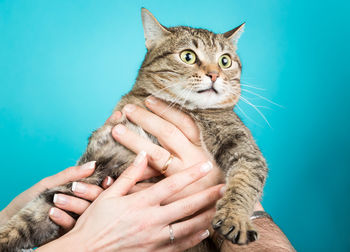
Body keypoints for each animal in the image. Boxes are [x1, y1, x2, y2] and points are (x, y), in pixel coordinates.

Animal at [0, 8, 268, 252]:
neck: (181, 107)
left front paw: (236, 218)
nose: (214, 74)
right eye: (188, 56)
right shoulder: (93, 168)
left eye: (225, 61)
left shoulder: (243, 146)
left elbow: (245, 181)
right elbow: (29, 217)